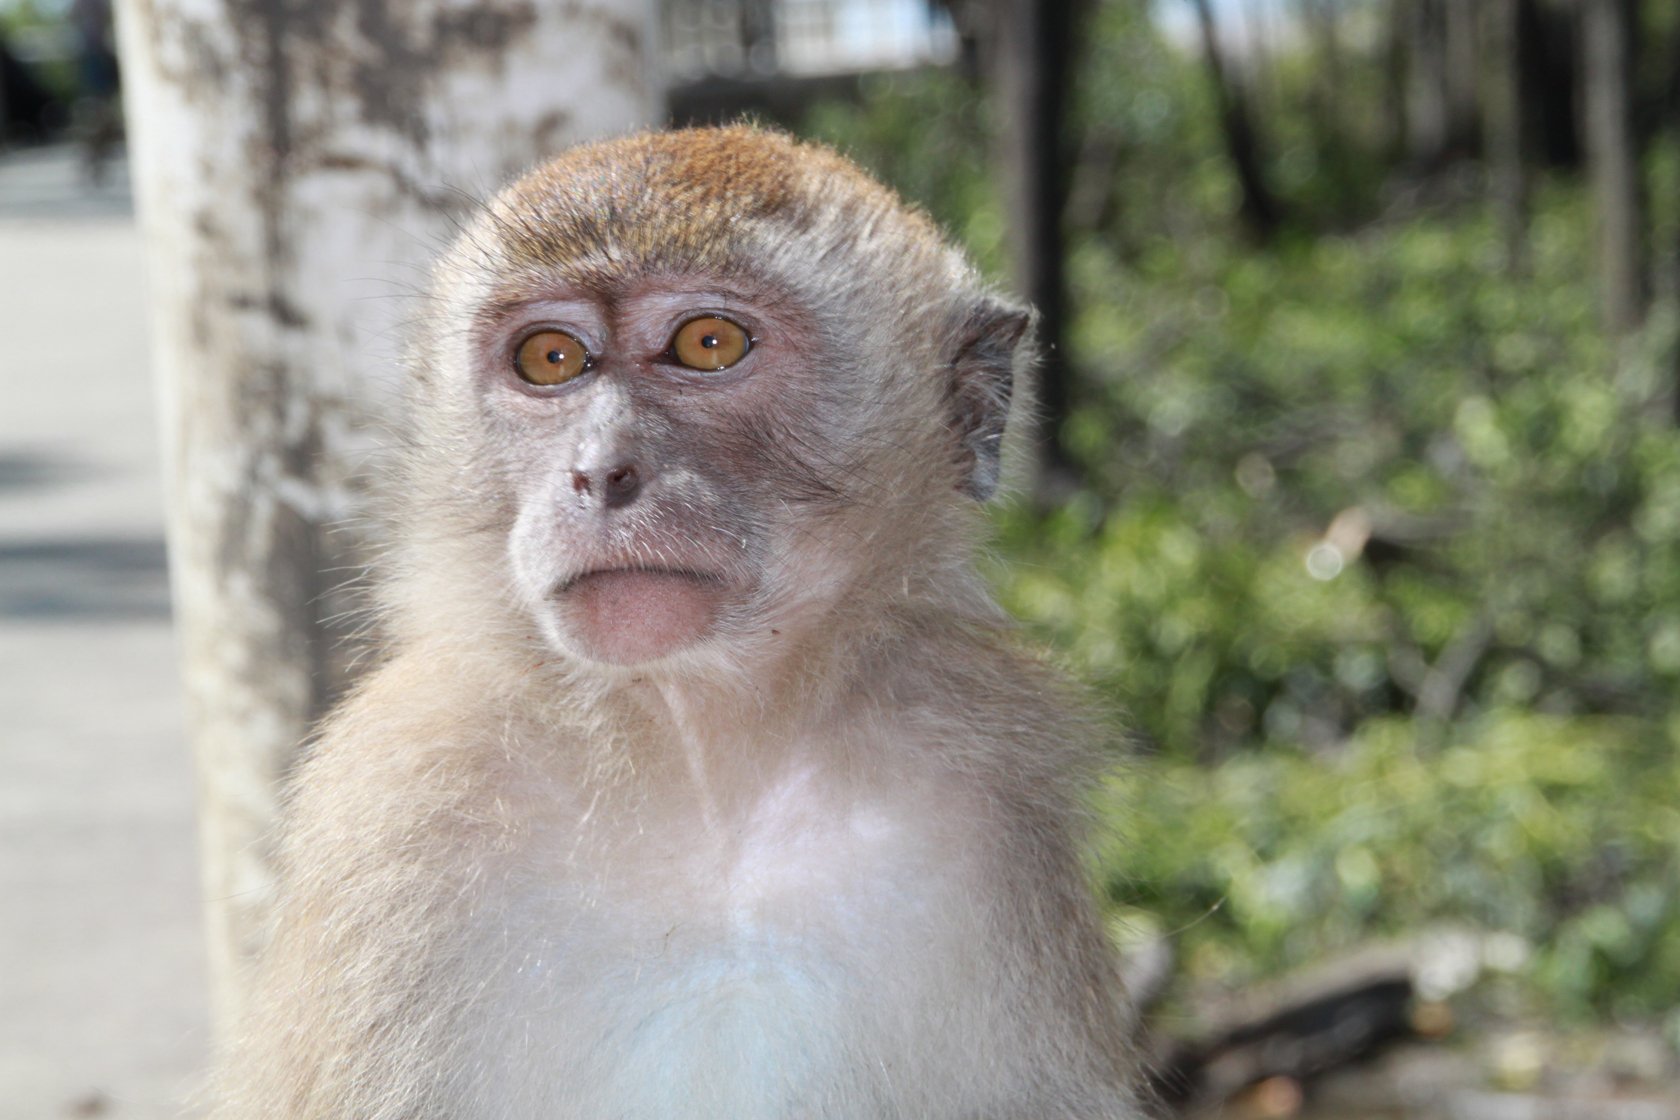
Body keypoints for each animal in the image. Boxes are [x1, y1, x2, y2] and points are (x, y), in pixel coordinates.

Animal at [213, 126, 1142, 1114]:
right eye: (550, 358)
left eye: (707, 342)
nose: (599, 471)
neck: (707, 772)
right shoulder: (402, 799)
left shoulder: (987, 803)